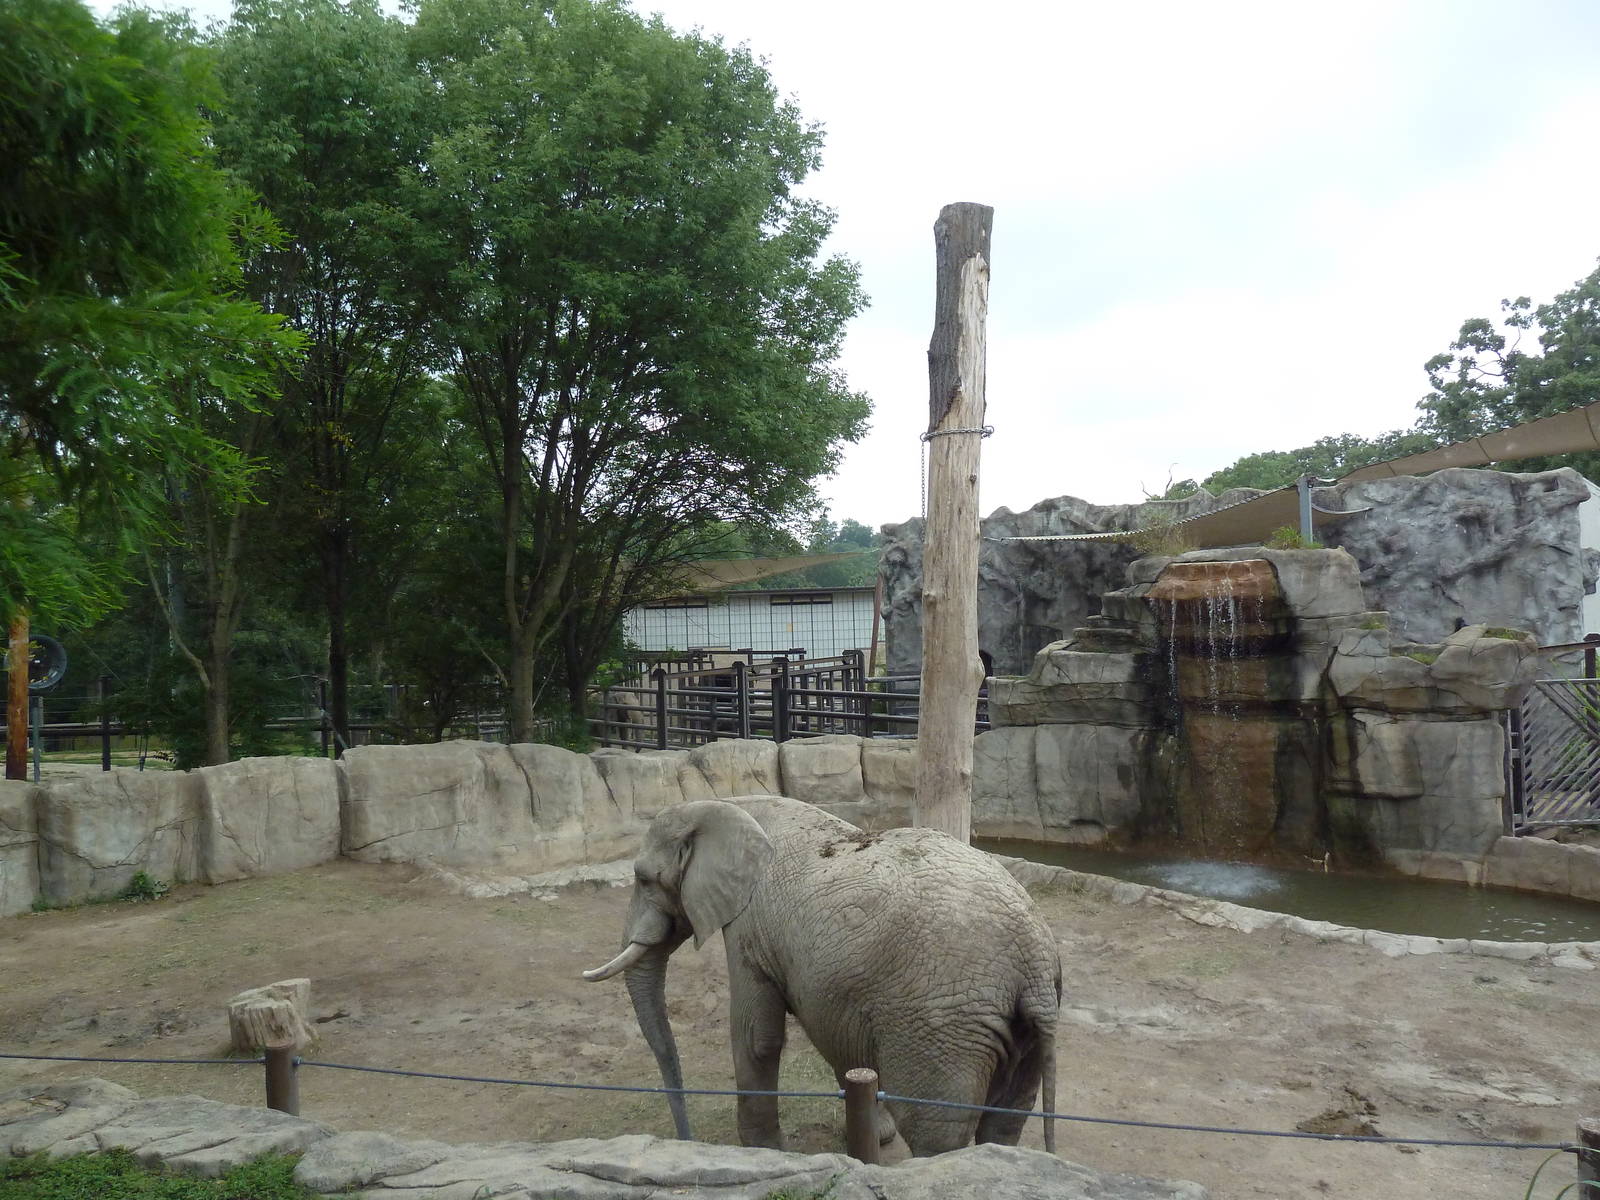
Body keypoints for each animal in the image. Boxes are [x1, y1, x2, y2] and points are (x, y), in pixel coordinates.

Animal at [582, 795, 1061, 1156]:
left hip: (942, 1028)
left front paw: (763, 1151)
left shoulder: (749, 925)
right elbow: (840, 1039)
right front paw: (873, 1133)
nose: (687, 1139)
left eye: (643, 879)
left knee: (936, 1133)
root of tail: (1034, 960)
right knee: (1005, 1123)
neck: (728, 803)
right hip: (1021, 1029)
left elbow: (756, 1036)